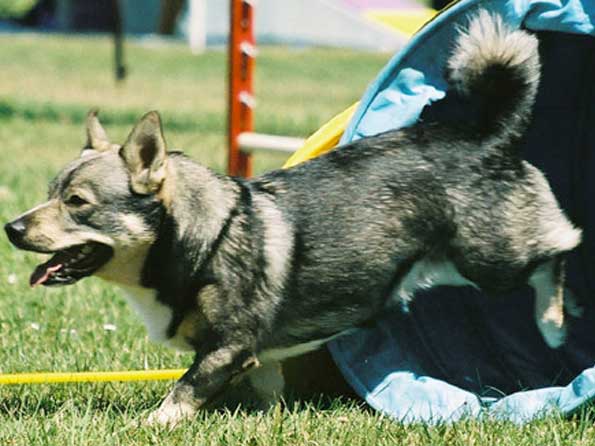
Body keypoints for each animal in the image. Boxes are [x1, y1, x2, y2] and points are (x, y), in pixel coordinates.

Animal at [3, 11, 584, 426]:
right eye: (49, 194)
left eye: (77, 202)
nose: (12, 228)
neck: (200, 241)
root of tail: (490, 135)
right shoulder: (256, 358)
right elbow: (269, 392)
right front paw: (269, 422)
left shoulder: (227, 347)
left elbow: (181, 390)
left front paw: (148, 426)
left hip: (491, 257)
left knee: (559, 247)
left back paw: (555, 324)